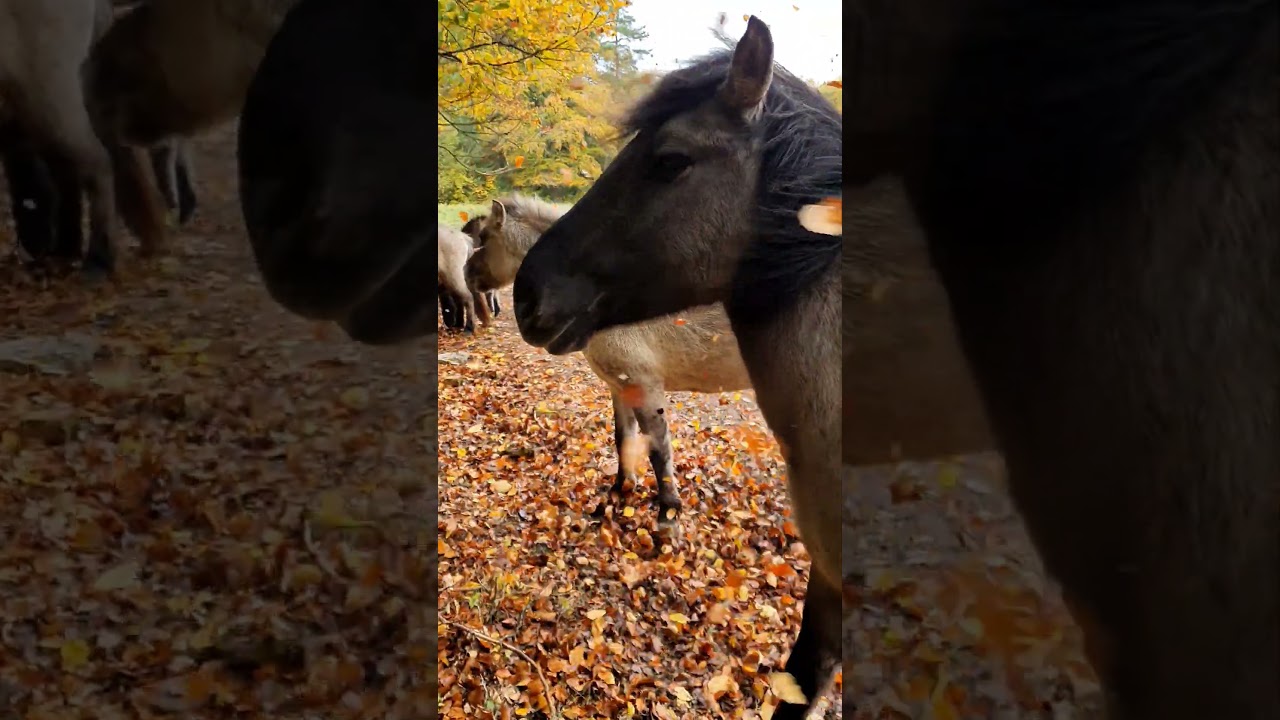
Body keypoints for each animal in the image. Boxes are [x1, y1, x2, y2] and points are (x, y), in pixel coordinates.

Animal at [467, 195, 753, 523]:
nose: (467, 273)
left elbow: (659, 450)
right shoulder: (620, 388)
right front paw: (620, 490)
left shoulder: (645, 388)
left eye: (485, 238)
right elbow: (623, 439)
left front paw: (668, 511)